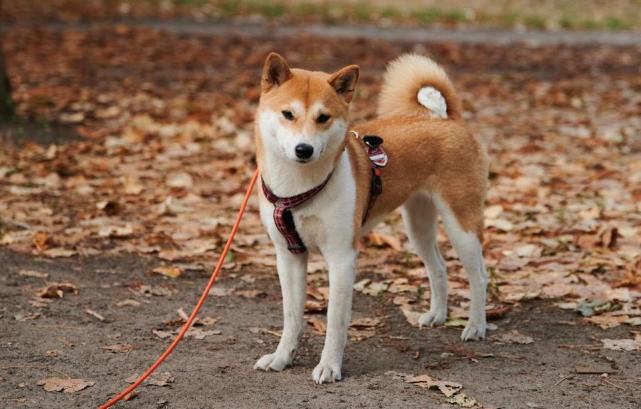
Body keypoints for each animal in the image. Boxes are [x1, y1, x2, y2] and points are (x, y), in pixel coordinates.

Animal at [252, 51, 488, 382]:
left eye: (323, 117)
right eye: (288, 114)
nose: (304, 149)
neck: (299, 188)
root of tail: (444, 118)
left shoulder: (342, 258)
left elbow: (335, 321)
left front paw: (329, 366)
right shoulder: (289, 256)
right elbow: (292, 317)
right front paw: (282, 357)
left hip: (461, 224)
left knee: (478, 276)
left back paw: (476, 326)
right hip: (417, 227)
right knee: (439, 268)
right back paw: (437, 315)